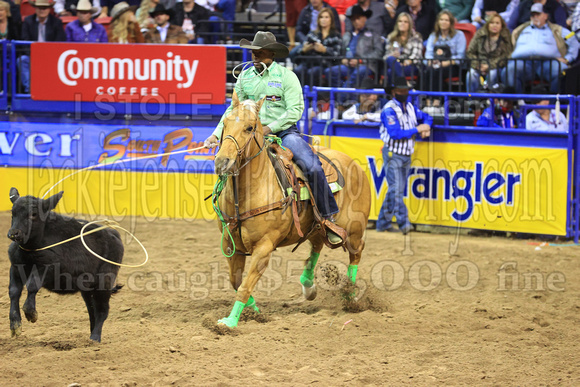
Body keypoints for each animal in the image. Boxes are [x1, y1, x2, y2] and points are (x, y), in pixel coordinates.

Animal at [7, 188, 125, 342]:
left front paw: (31, 313)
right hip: (87, 288)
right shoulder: (15, 267)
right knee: (92, 310)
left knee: (102, 310)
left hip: (104, 281)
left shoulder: (49, 268)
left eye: (33, 214)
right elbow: (14, 291)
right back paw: (90, 337)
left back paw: (95, 338)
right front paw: (15, 325)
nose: (14, 233)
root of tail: (114, 234)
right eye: (13, 213)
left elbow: (32, 285)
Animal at [213, 94, 372, 328]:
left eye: (250, 128)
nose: (222, 162)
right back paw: (308, 286)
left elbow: (244, 287)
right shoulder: (230, 244)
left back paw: (350, 296)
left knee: (356, 253)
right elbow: (236, 282)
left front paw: (231, 322)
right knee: (317, 245)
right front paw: (255, 312)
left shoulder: (264, 247)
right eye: (225, 122)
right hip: (316, 226)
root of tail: (355, 164)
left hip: (354, 230)